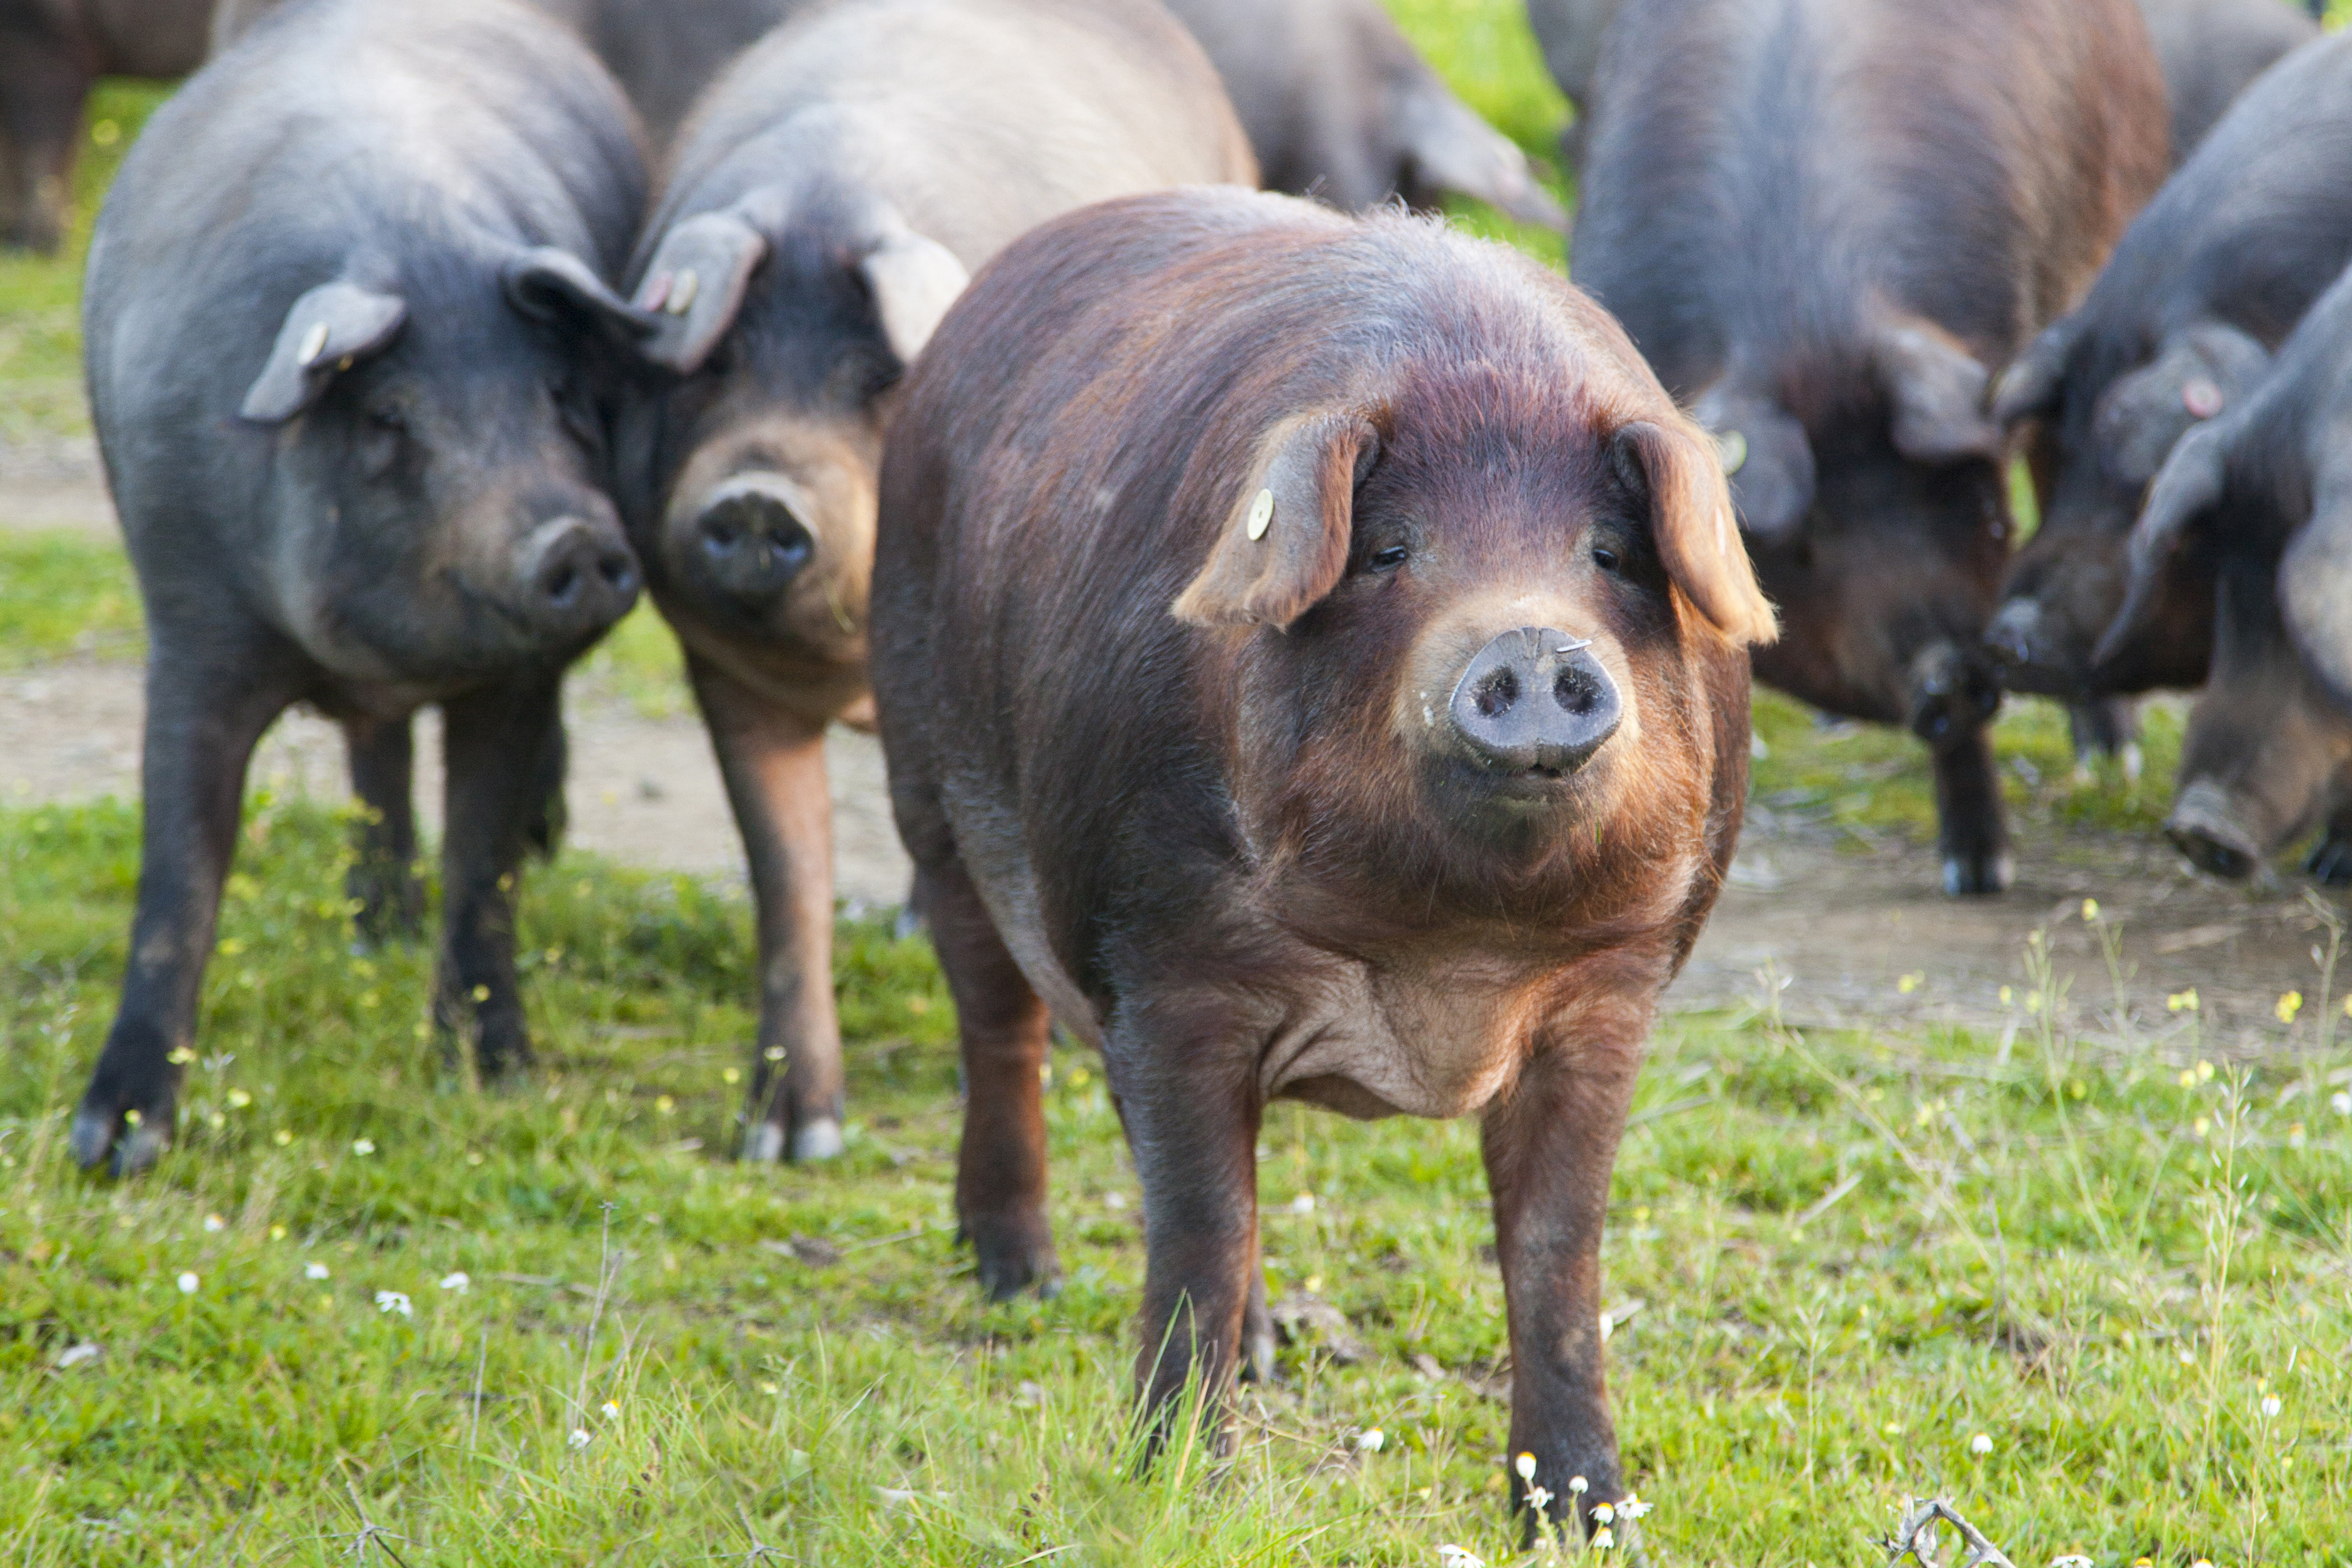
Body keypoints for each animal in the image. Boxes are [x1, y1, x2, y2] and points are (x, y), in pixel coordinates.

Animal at [69, 0, 652, 1175]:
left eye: (560, 392)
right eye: (388, 418)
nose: (573, 538)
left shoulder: (514, 682)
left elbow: (484, 871)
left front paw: (499, 1079)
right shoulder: (190, 624)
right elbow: (178, 879)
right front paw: (112, 1148)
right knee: (374, 763)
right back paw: (375, 926)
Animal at [607, 0, 1255, 1164]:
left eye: (876, 378)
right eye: (716, 367)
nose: (758, 498)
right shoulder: (723, 668)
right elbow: (788, 877)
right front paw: (790, 1140)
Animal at [871, 188, 1776, 1538]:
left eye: (1609, 555)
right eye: (1389, 550)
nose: (1529, 644)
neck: (1446, 954)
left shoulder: (1612, 986)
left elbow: (1557, 1251)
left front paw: (1582, 1518)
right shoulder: (1166, 959)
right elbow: (1196, 1228)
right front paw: (1176, 1490)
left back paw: (1256, 1348)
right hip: (926, 789)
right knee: (1001, 1025)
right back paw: (1019, 1280)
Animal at [1573, 0, 2169, 896]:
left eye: (1970, 506)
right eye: (1804, 547)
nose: (1949, 672)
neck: (1805, 323)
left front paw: (1980, 876)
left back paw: (2112, 757)